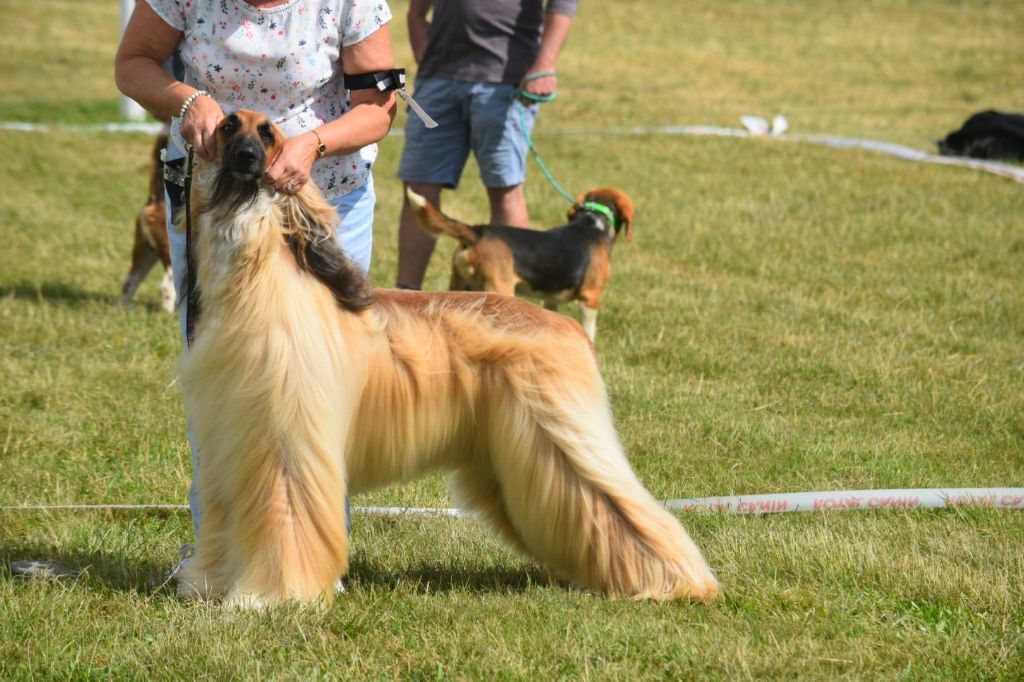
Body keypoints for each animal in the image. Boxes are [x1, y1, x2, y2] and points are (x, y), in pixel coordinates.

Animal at [405, 184, 630, 339]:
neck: (593, 222)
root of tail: (477, 232)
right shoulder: (590, 297)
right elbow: (589, 330)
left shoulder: (551, 299)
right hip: (499, 290)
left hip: (460, 287)